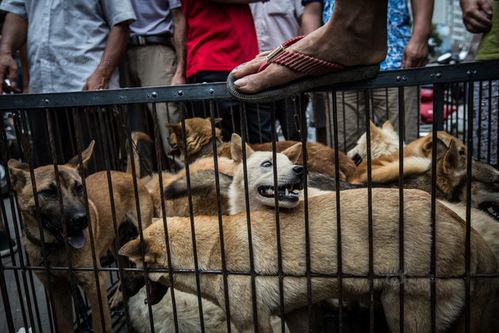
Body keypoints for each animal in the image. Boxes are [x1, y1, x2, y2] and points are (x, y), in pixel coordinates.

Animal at [8, 140, 154, 332]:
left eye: (79, 188)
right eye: (48, 192)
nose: (82, 219)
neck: (55, 247)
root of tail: (127, 174)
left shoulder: (94, 284)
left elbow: (101, 325)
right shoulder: (56, 289)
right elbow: (63, 325)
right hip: (116, 246)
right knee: (123, 270)